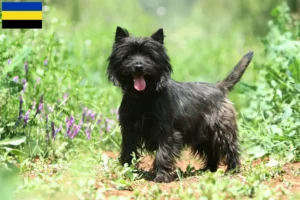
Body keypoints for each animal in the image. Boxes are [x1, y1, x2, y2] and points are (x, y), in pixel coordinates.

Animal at [108, 26, 253, 183]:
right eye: (128, 55)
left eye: (150, 56)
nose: (139, 66)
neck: (143, 97)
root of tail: (219, 87)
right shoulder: (129, 130)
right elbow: (128, 150)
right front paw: (128, 170)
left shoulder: (167, 133)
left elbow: (163, 153)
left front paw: (161, 176)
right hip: (203, 135)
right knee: (211, 151)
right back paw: (208, 170)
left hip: (222, 130)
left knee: (230, 148)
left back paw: (232, 169)